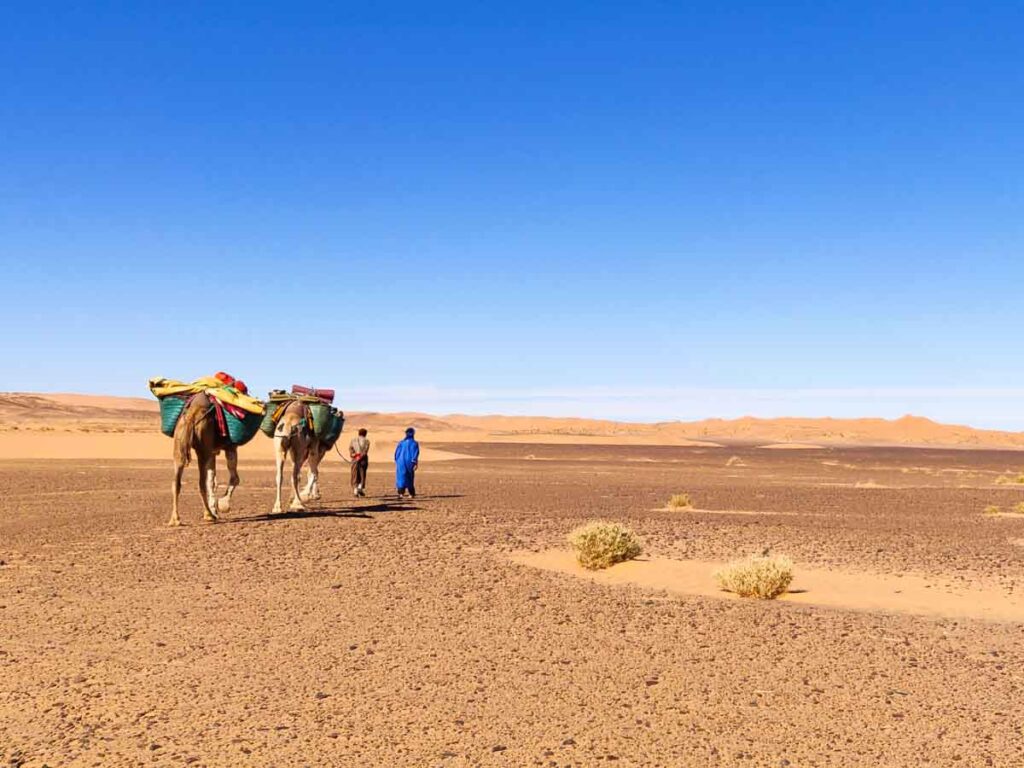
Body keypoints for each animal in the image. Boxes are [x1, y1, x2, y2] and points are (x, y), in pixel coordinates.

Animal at [169, 393, 239, 528]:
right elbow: (233, 478)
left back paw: (175, 519)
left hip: (179, 445)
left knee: (176, 483)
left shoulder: (213, 452)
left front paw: (217, 508)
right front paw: (222, 506)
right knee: (201, 483)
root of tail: (191, 415)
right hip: (203, 448)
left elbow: (212, 481)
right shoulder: (229, 447)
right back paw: (208, 515)